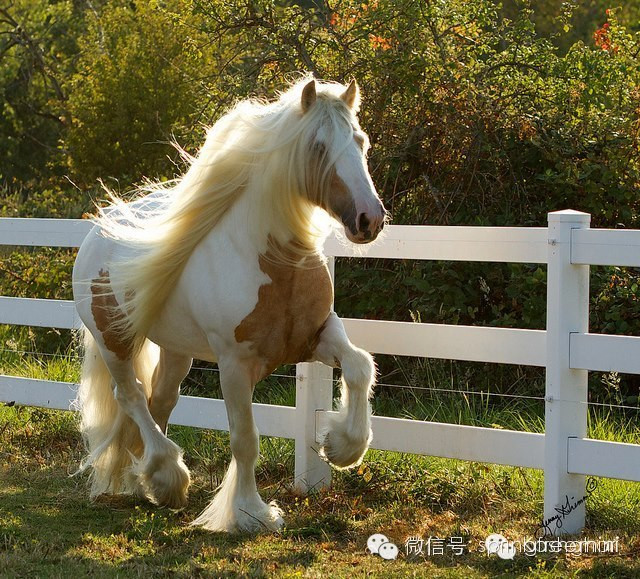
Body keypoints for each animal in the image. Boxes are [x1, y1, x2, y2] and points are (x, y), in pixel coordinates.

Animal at [72, 77, 386, 532]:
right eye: (318, 146)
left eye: (361, 142)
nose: (369, 219)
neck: (276, 261)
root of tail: (98, 231)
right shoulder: (235, 362)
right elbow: (245, 439)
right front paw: (252, 513)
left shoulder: (317, 335)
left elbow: (361, 364)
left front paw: (341, 446)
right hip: (115, 342)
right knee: (130, 396)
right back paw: (168, 476)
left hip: (176, 349)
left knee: (159, 400)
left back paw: (151, 483)